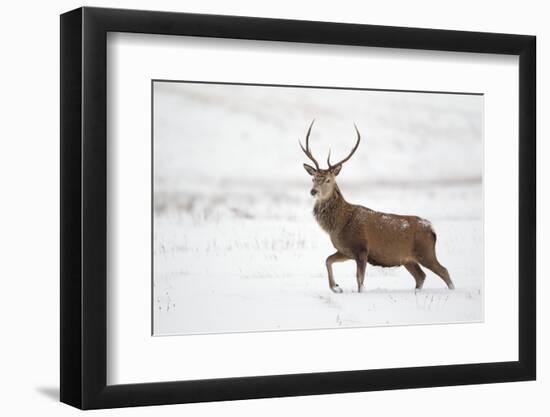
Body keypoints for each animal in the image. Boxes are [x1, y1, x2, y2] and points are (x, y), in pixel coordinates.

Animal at [302, 121, 458, 292]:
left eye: (328, 180)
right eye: (313, 178)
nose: (313, 191)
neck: (339, 225)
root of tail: (432, 229)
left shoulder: (361, 248)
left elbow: (360, 280)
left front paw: (353, 290)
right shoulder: (346, 250)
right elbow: (328, 260)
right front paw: (336, 287)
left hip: (426, 251)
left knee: (444, 271)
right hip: (408, 259)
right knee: (421, 276)